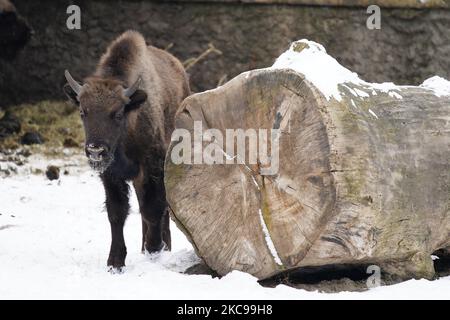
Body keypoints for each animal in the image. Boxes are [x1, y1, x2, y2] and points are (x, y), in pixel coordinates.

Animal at [63, 30, 190, 272]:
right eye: (83, 111)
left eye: (118, 113)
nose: (95, 150)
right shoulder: (111, 175)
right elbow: (117, 212)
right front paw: (115, 262)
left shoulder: (152, 169)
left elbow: (152, 209)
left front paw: (154, 249)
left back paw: (161, 246)